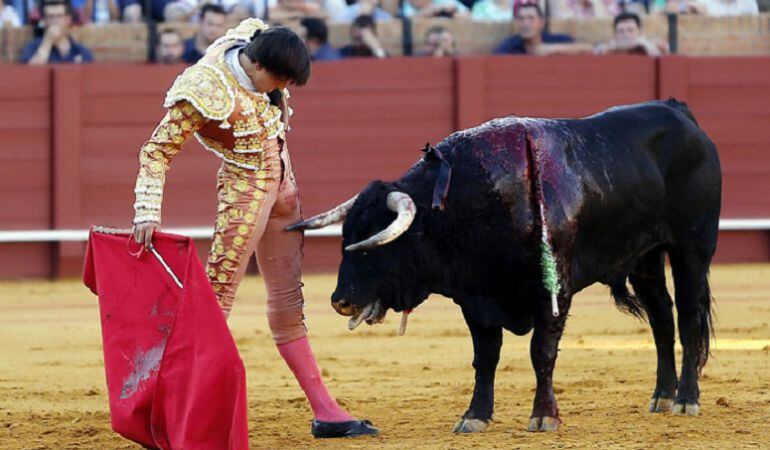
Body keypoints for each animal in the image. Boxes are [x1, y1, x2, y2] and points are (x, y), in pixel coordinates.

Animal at [288, 99, 720, 432]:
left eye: (374, 246)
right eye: (346, 239)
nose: (340, 300)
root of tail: (678, 111)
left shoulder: (554, 291)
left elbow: (541, 352)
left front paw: (544, 417)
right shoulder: (476, 298)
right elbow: (485, 357)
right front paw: (475, 416)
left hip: (692, 249)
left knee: (688, 317)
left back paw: (686, 399)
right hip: (644, 259)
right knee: (662, 318)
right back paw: (661, 396)